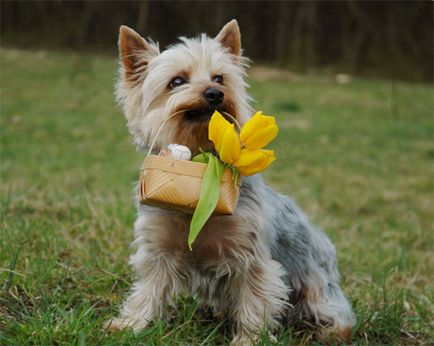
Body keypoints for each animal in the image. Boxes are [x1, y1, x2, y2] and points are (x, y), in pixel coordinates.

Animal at [107, 20, 354, 344]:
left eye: (219, 78)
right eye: (176, 81)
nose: (214, 93)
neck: (201, 168)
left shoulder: (251, 258)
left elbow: (254, 301)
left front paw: (249, 338)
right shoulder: (158, 248)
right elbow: (149, 289)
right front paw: (130, 325)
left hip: (316, 285)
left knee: (334, 310)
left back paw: (331, 331)